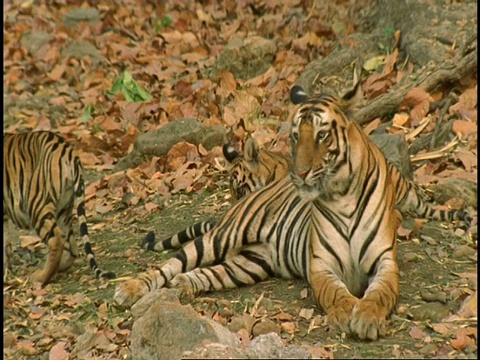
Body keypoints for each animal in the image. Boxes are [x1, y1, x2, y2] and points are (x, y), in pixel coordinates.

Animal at [4, 131, 114, 286]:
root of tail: (68, 151)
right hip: (64, 208)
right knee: (71, 244)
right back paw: (57, 269)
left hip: (37, 204)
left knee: (56, 240)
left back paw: (40, 277)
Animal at [115, 88, 468, 340]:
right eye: (296, 136)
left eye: (322, 135)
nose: (300, 173)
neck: (343, 194)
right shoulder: (321, 266)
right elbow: (335, 294)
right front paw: (346, 313)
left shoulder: (385, 261)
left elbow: (381, 294)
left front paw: (366, 317)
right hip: (221, 239)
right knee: (168, 265)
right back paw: (129, 289)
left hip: (249, 263)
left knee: (203, 273)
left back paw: (181, 287)